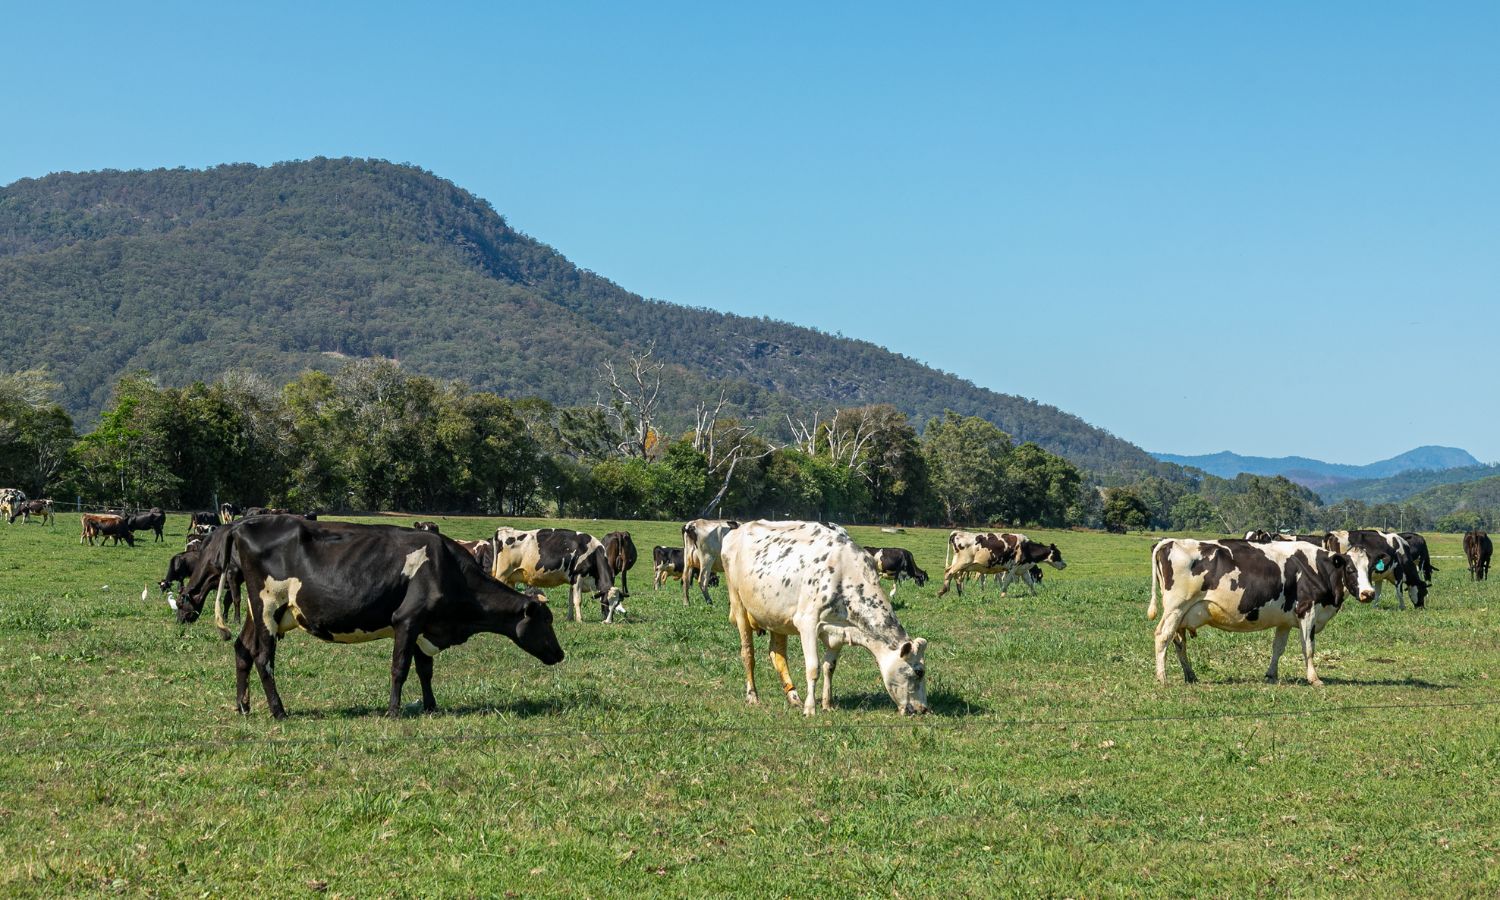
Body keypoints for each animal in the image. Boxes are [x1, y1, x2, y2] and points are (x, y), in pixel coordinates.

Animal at [175, 516, 564, 720]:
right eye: (545, 622)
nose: (560, 654)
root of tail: (244, 523)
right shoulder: (408, 619)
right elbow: (400, 668)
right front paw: (393, 711)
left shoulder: (423, 625)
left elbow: (425, 669)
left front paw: (431, 706)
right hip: (268, 606)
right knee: (263, 658)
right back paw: (278, 710)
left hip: (258, 613)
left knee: (242, 650)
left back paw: (243, 707)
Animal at [489, 528, 624, 627]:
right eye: (605, 602)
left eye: (616, 605)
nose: (608, 622)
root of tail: (503, 530)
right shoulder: (578, 576)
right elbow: (578, 600)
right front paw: (580, 620)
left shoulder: (572, 580)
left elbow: (570, 599)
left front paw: (570, 618)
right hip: (502, 574)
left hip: (510, 578)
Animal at [1146, 537, 1374, 687]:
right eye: (1350, 569)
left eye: (1371, 569)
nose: (1368, 593)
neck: (1319, 568)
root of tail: (1170, 541)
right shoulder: (1307, 609)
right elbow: (1308, 648)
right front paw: (1314, 679)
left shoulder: (1285, 619)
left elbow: (1278, 648)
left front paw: (1271, 675)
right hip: (1176, 607)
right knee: (1162, 637)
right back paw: (1162, 678)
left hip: (1181, 614)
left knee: (1179, 642)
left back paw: (1190, 676)